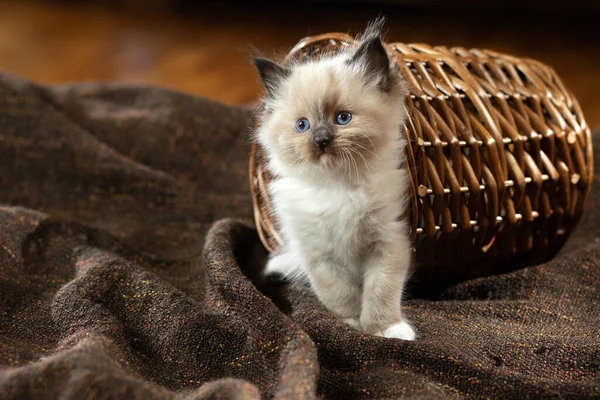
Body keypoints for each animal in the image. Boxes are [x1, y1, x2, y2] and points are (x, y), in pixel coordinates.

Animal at [251, 19, 414, 340]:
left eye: (343, 118)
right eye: (303, 125)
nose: (321, 140)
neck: (338, 187)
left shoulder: (387, 241)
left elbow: (381, 290)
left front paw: (385, 329)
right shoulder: (319, 254)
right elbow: (341, 294)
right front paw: (351, 325)